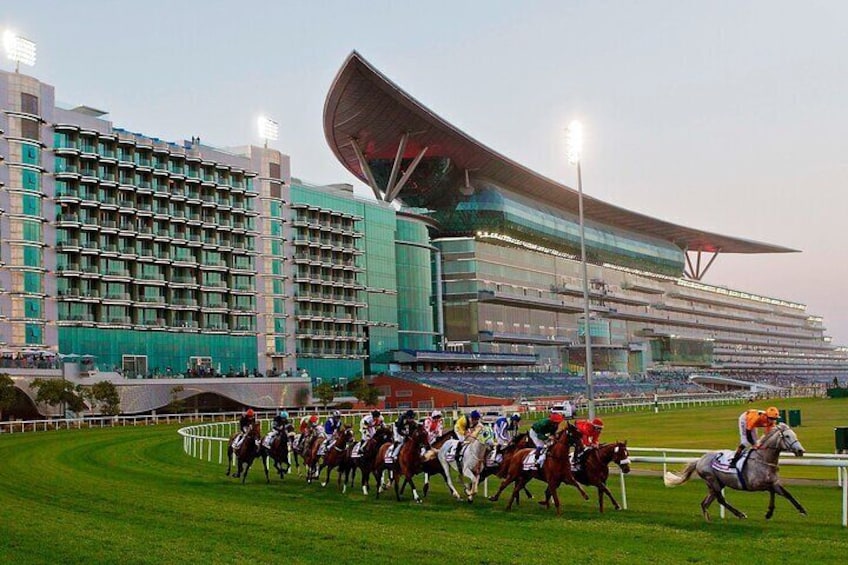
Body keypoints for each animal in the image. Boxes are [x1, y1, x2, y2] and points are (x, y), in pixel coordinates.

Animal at [664, 424, 808, 520]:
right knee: (721, 500)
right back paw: (739, 514)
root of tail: (699, 460)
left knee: (705, 503)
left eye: (795, 435)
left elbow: (786, 493)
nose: (801, 451)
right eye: (787, 436)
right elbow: (772, 491)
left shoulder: (774, 482)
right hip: (712, 480)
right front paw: (769, 512)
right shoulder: (755, 485)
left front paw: (802, 510)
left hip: (716, 484)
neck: (762, 459)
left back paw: (708, 520)